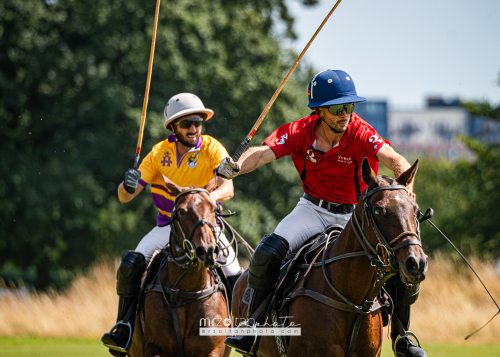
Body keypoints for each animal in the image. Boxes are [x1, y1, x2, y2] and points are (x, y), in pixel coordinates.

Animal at [128, 178, 231, 356]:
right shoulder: (153, 346)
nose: (207, 250)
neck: (186, 290)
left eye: (213, 208)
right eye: (181, 211)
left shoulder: (212, 349)